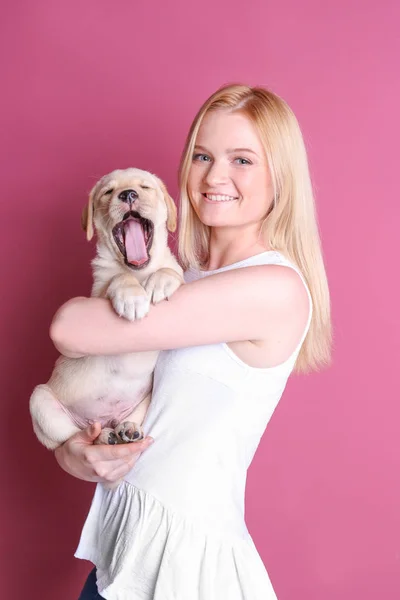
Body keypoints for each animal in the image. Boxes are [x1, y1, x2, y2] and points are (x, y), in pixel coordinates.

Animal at [29, 166, 183, 452]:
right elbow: (118, 277)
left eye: (145, 187)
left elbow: (172, 270)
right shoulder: (97, 292)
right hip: (41, 402)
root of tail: (104, 420)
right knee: (77, 437)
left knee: (124, 422)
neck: (140, 272)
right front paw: (132, 297)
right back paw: (104, 436)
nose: (128, 194)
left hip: (146, 398)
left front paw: (161, 280)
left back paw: (127, 429)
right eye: (108, 192)